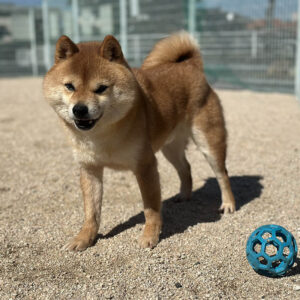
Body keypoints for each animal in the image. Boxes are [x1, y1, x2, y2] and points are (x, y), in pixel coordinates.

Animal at [42, 31, 234, 251]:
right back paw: (184, 195)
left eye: (101, 88)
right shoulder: (90, 169)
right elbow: (92, 212)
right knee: (186, 168)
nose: (80, 109)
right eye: (69, 87)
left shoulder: (145, 165)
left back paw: (228, 204)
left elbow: (150, 209)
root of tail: (190, 66)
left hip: (208, 143)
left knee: (222, 174)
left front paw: (150, 236)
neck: (102, 135)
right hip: (171, 149)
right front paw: (84, 238)